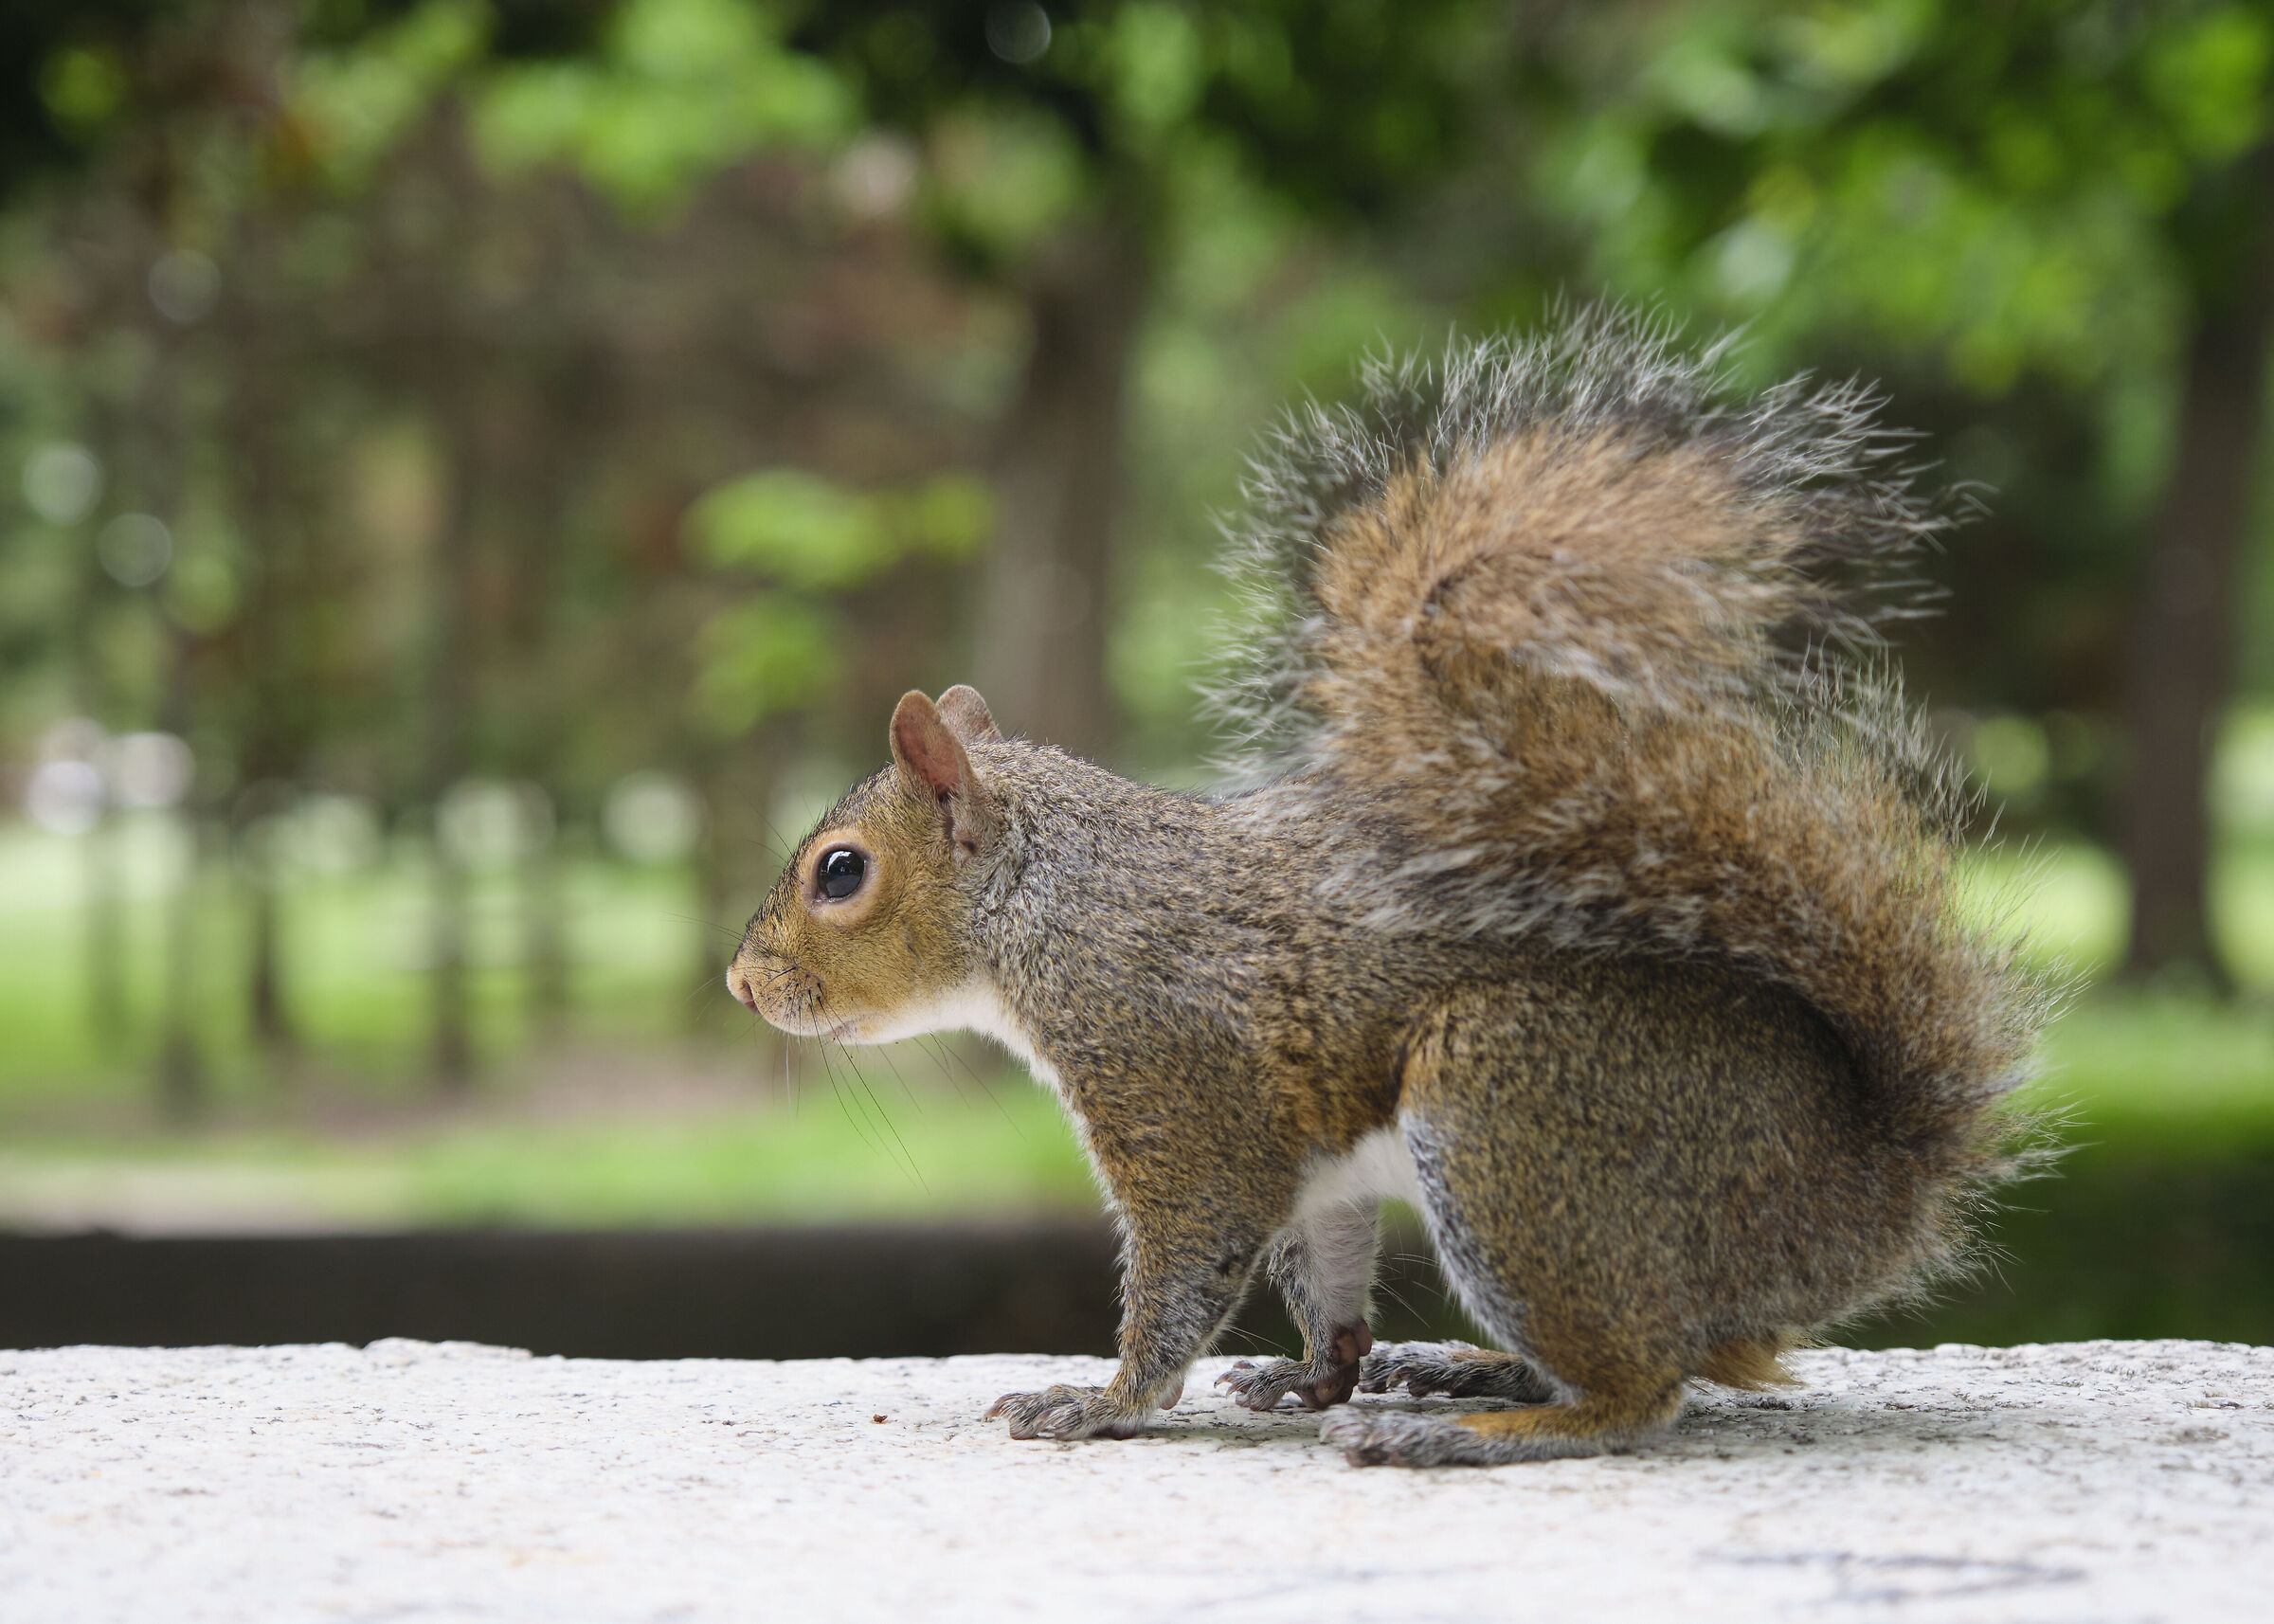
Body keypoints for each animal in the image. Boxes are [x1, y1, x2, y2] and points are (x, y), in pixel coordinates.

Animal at [725, 310, 2053, 1468]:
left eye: (841, 872)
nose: (740, 983)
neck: (1050, 902)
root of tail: (1860, 1193)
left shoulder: (1179, 1086)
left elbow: (1189, 1259)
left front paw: (1104, 1401)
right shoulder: (1307, 1155)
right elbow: (1326, 1260)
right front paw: (1317, 1371)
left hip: (1514, 1112)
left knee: (1645, 1389)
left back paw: (1474, 1428)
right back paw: (1472, 1371)